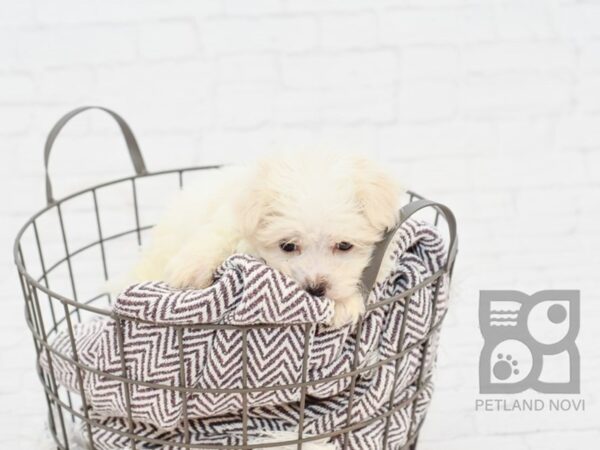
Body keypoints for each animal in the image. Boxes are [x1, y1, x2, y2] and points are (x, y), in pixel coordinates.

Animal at [131, 152, 404, 326]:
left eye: (344, 245)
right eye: (288, 246)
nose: (315, 289)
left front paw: (344, 304)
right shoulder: (232, 215)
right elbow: (218, 234)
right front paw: (191, 269)